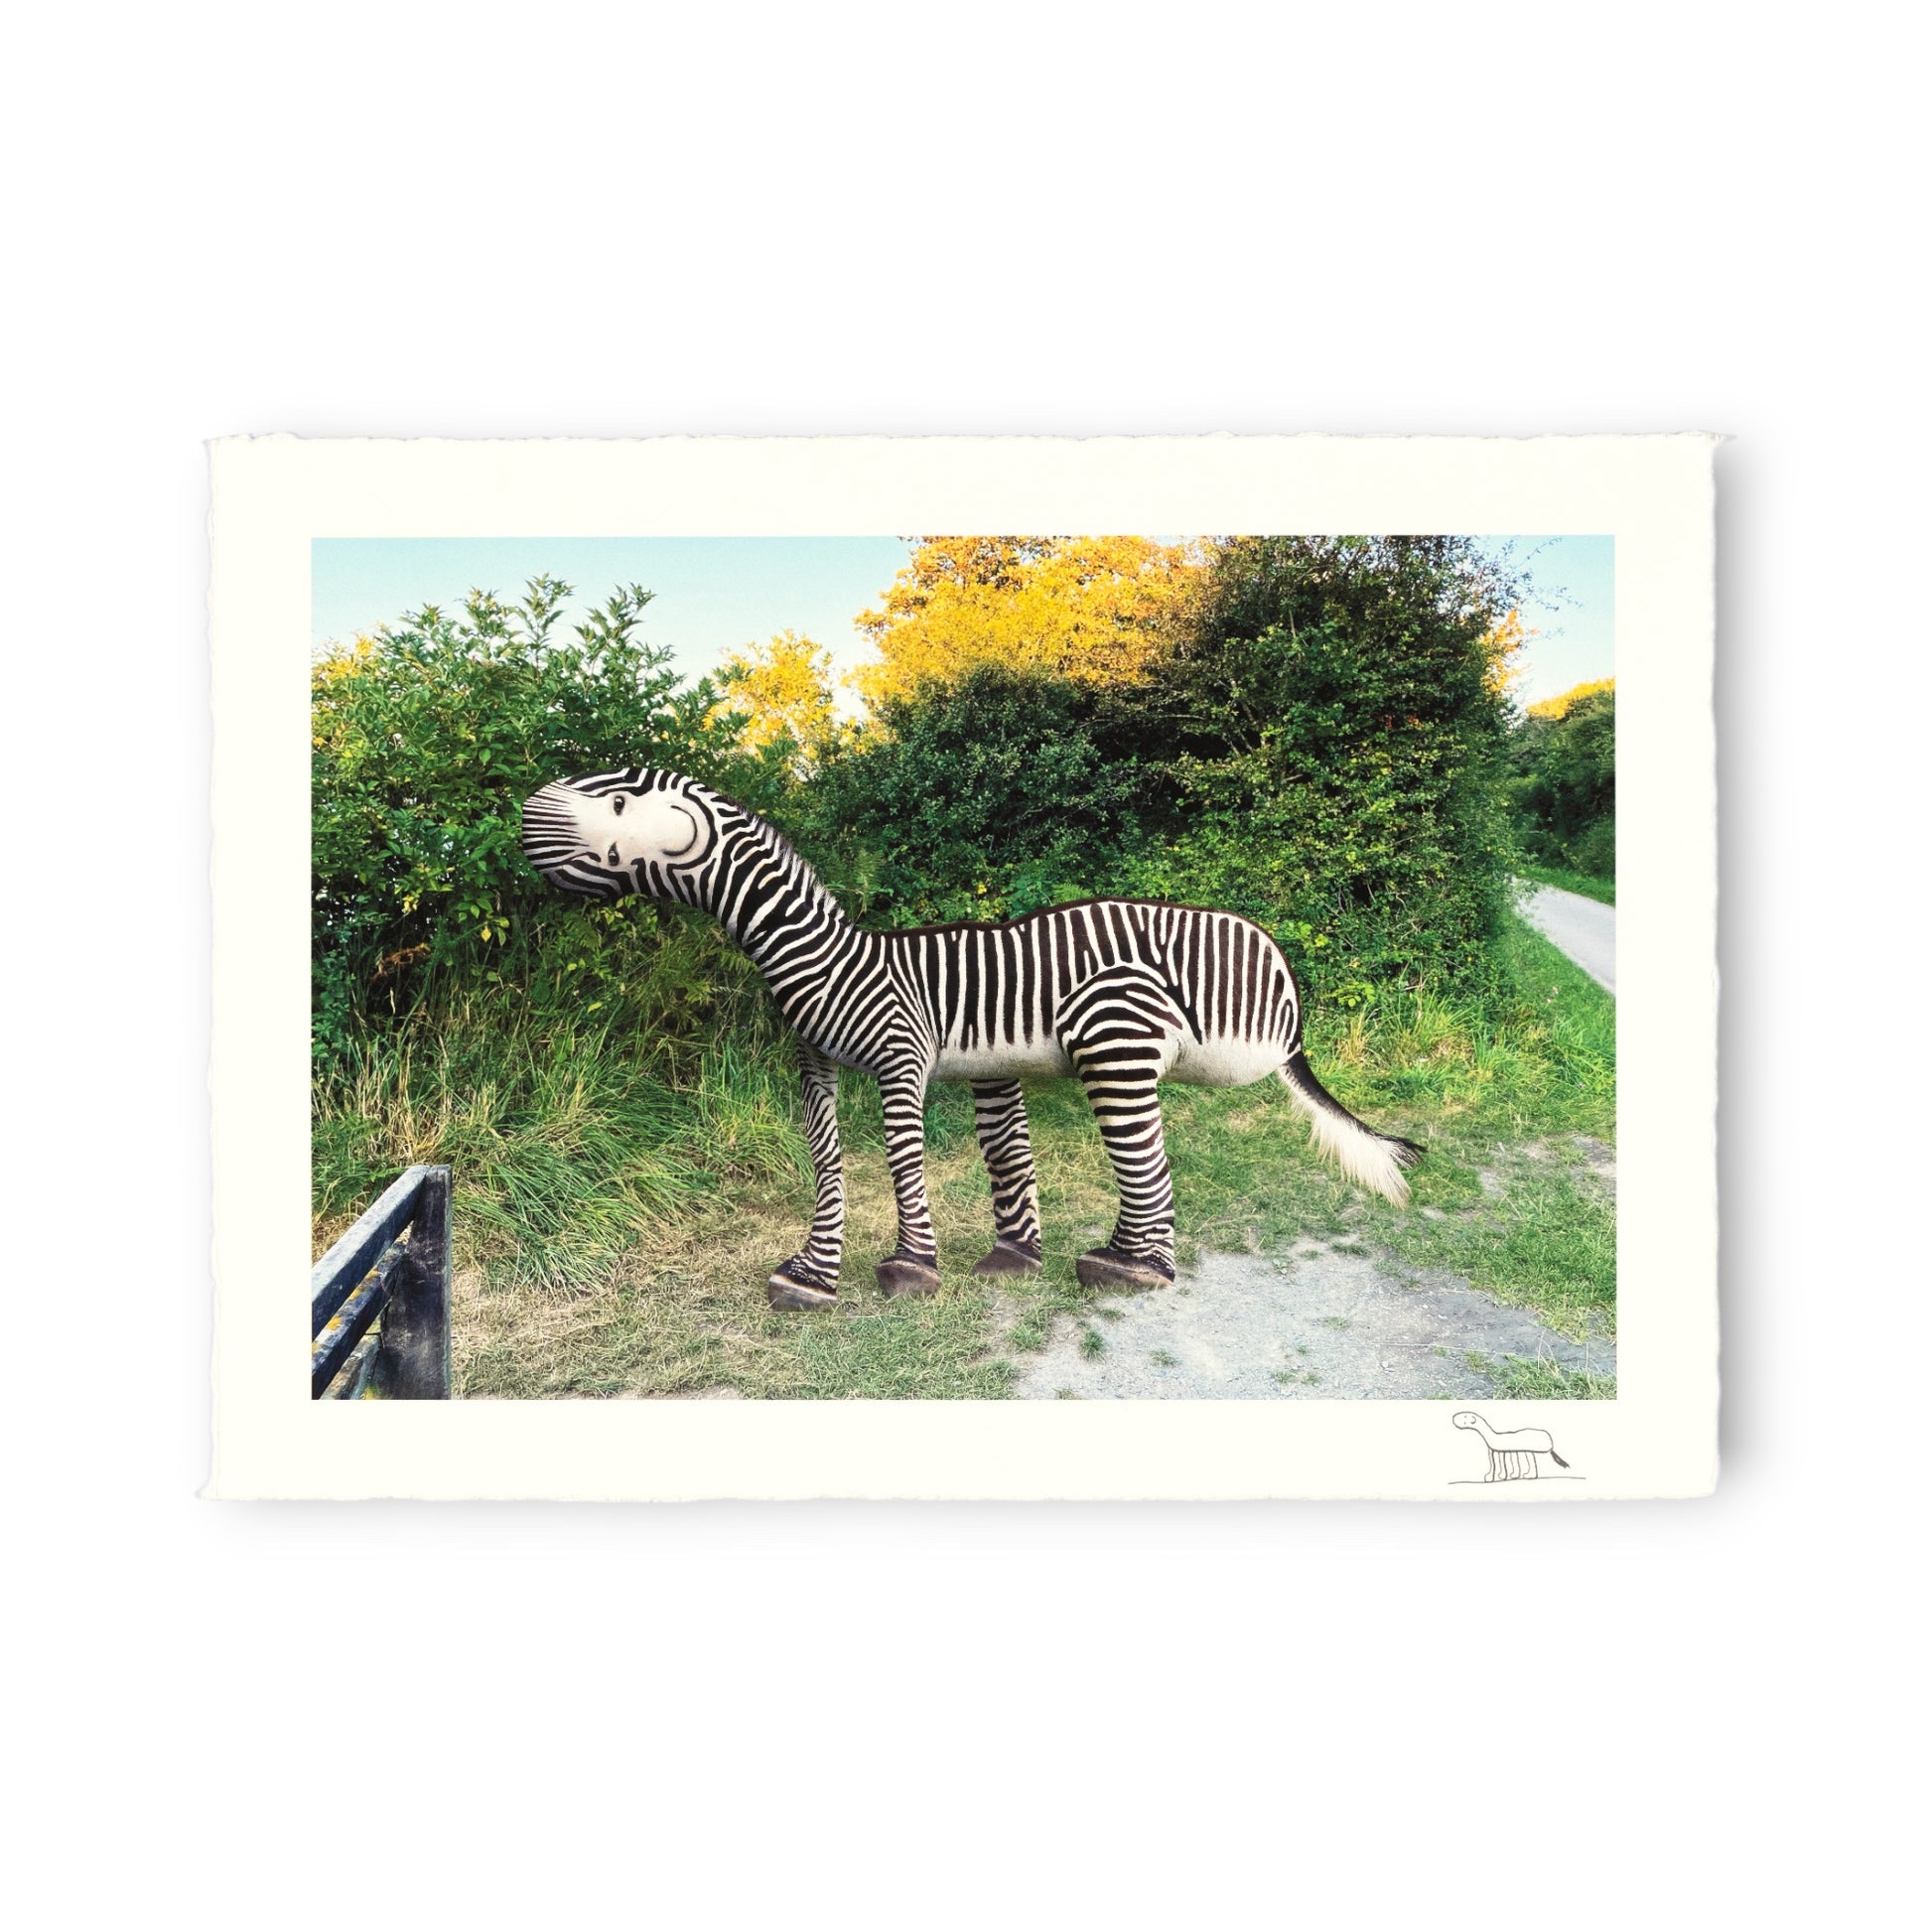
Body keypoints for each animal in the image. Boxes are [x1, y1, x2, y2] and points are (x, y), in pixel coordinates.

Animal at [521, 767, 1422, 1310]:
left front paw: (910, 1268)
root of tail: (1282, 983)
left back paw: (1128, 1270)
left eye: (617, 801)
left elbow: (900, 1158)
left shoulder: (899, 1052)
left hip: (1116, 1039)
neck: (818, 951)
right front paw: (811, 1275)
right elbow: (828, 1160)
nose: (527, 813)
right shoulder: (815, 1063)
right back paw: (1072, 1258)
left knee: (1147, 1164)